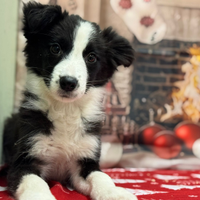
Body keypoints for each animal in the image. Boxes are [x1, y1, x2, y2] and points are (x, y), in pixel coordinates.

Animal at [3, 1, 137, 200]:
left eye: (91, 57)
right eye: (55, 48)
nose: (68, 82)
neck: (66, 110)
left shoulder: (85, 159)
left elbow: (101, 177)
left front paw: (113, 192)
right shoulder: (24, 158)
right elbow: (34, 181)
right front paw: (39, 195)